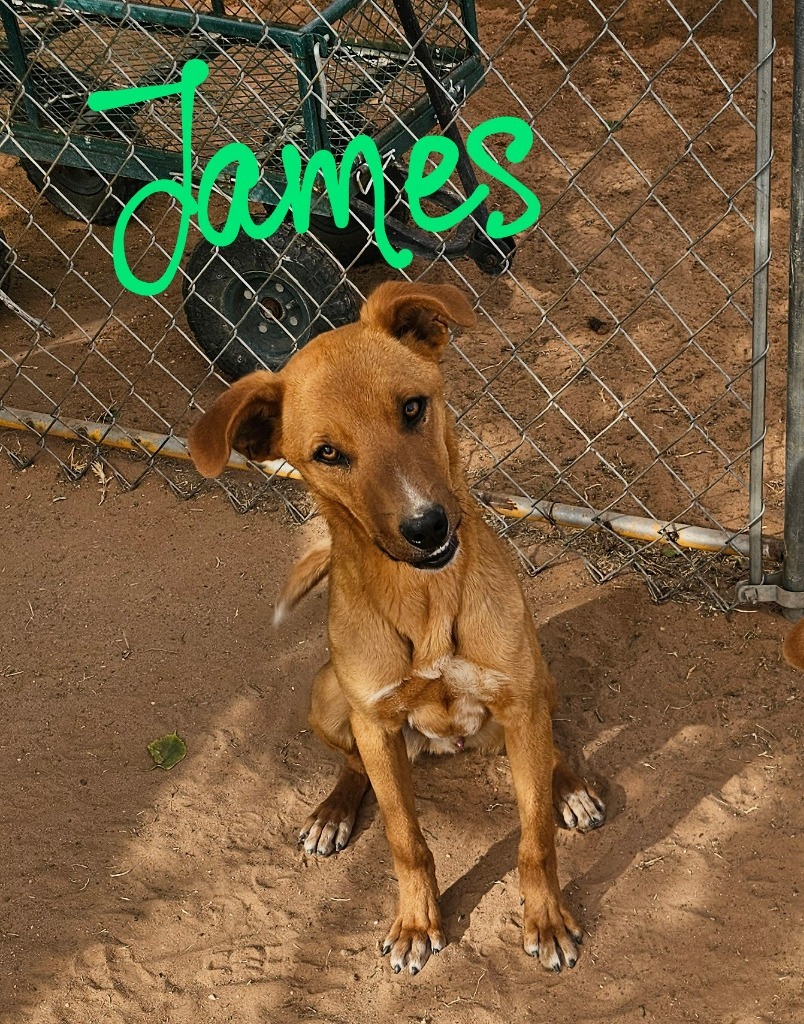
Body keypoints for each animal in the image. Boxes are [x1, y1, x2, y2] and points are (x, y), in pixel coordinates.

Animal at [188, 280, 602, 974]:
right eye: (327, 454)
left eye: (413, 408)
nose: (426, 526)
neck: (424, 598)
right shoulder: (376, 722)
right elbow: (406, 839)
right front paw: (414, 923)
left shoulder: (518, 701)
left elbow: (534, 837)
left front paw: (546, 918)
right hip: (329, 699)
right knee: (355, 763)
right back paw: (332, 812)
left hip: (534, 683)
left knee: (548, 751)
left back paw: (568, 786)